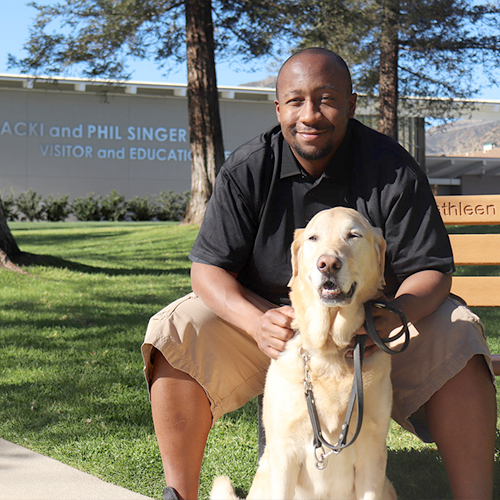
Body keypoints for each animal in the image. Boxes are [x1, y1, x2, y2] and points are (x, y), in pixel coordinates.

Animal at [213, 207, 396, 500]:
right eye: (313, 238)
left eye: (353, 235)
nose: (328, 264)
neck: (329, 349)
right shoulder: (284, 453)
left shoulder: (373, 453)